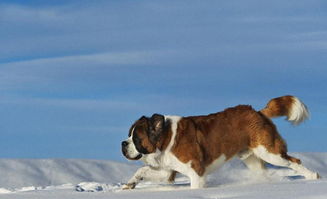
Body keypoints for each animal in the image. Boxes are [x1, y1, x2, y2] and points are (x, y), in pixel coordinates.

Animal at [121, 96, 320, 190]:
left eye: (136, 138)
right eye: (129, 135)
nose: (123, 143)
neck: (166, 137)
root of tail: (257, 112)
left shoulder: (196, 171)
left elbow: (195, 186)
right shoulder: (168, 171)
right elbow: (142, 171)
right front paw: (129, 184)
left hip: (269, 152)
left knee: (294, 161)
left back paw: (313, 176)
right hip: (252, 158)